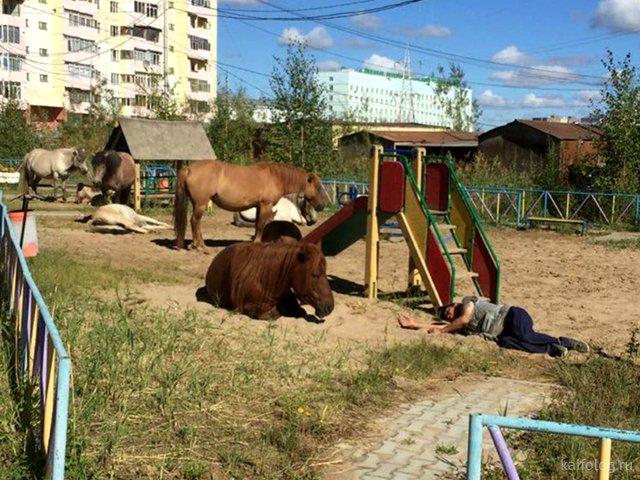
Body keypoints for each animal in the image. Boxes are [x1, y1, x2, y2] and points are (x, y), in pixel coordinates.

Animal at [174, 160, 328, 251]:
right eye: (318, 187)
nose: (322, 206)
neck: (276, 177)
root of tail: (189, 168)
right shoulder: (266, 205)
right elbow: (260, 225)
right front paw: (257, 243)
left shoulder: (259, 206)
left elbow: (257, 225)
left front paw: (254, 240)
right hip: (200, 203)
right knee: (194, 221)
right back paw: (198, 246)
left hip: (198, 203)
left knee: (197, 223)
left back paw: (201, 244)